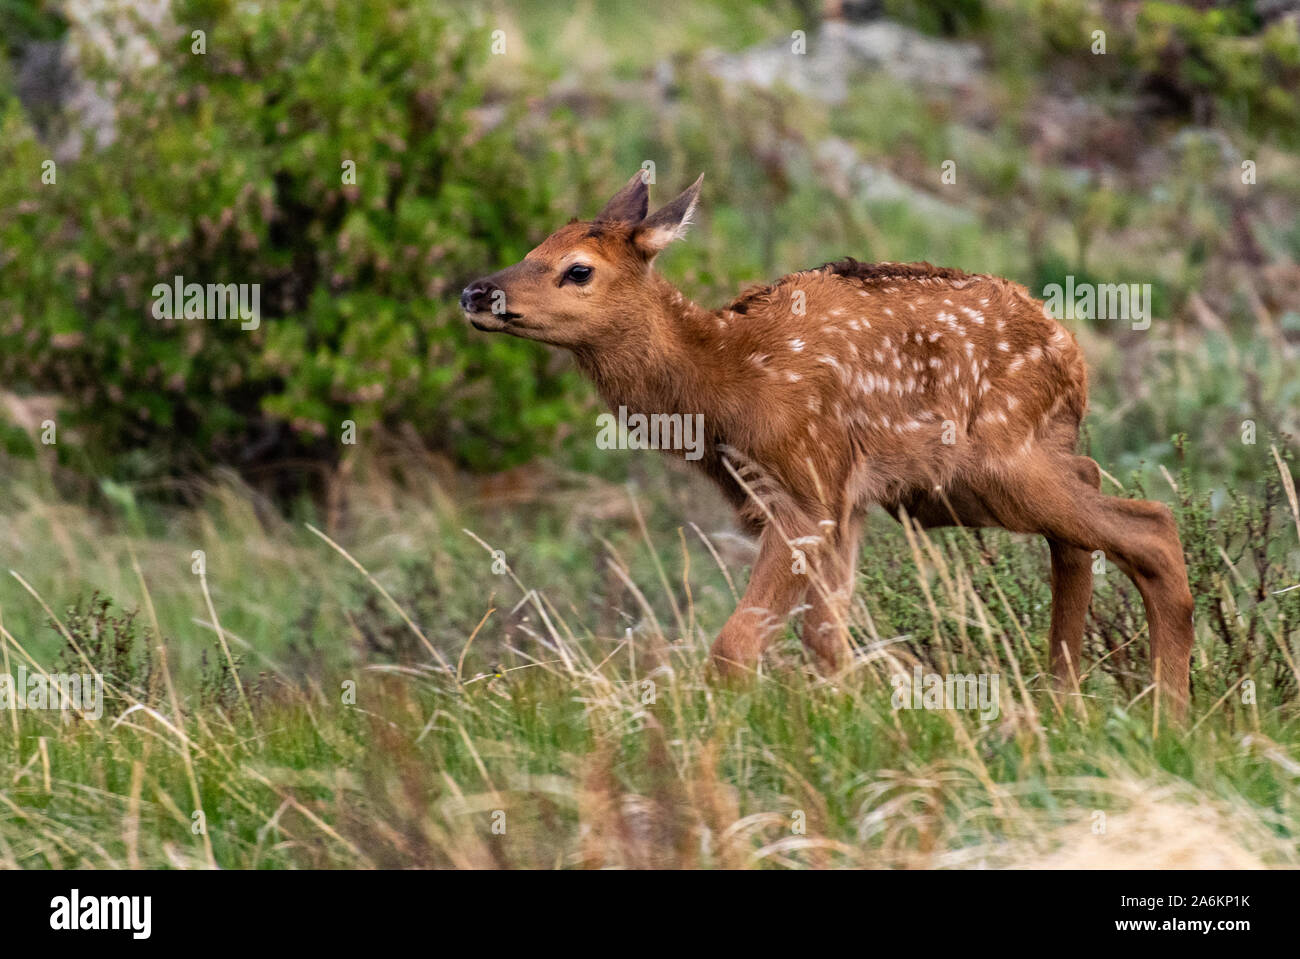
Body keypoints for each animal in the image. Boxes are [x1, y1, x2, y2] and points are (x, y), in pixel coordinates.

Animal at [460, 171, 1196, 712]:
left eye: (578, 269)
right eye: (532, 248)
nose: (476, 291)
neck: (722, 381)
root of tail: (1072, 352)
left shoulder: (807, 485)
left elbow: (735, 647)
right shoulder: (839, 500)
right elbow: (826, 637)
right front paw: (848, 722)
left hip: (995, 462)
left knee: (1151, 525)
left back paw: (1167, 718)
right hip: (981, 476)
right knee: (1090, 504)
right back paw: (1064, 698)